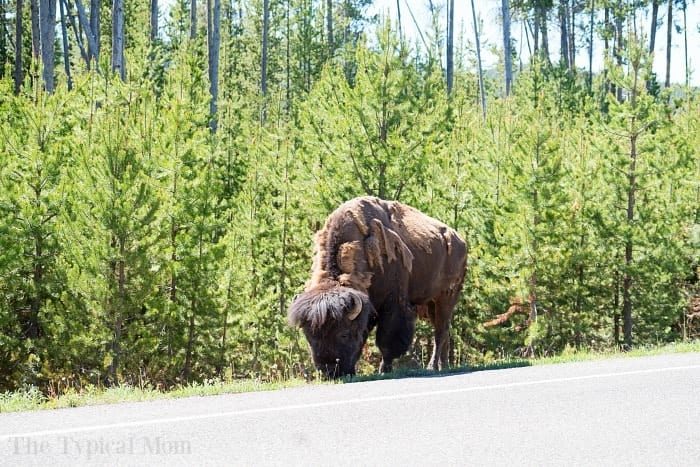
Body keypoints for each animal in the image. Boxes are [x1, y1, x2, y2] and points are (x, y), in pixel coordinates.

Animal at [289, 196, 467, 378]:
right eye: (309, 337)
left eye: (344, 334)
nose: (330, 371)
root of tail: (460, 241)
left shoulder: (393, 305)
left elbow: (387, 340)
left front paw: (384, 370)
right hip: (430, 305)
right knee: (444, 332)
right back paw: (444, 365)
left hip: (446, 298)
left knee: (440, 332)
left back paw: (433, 366)